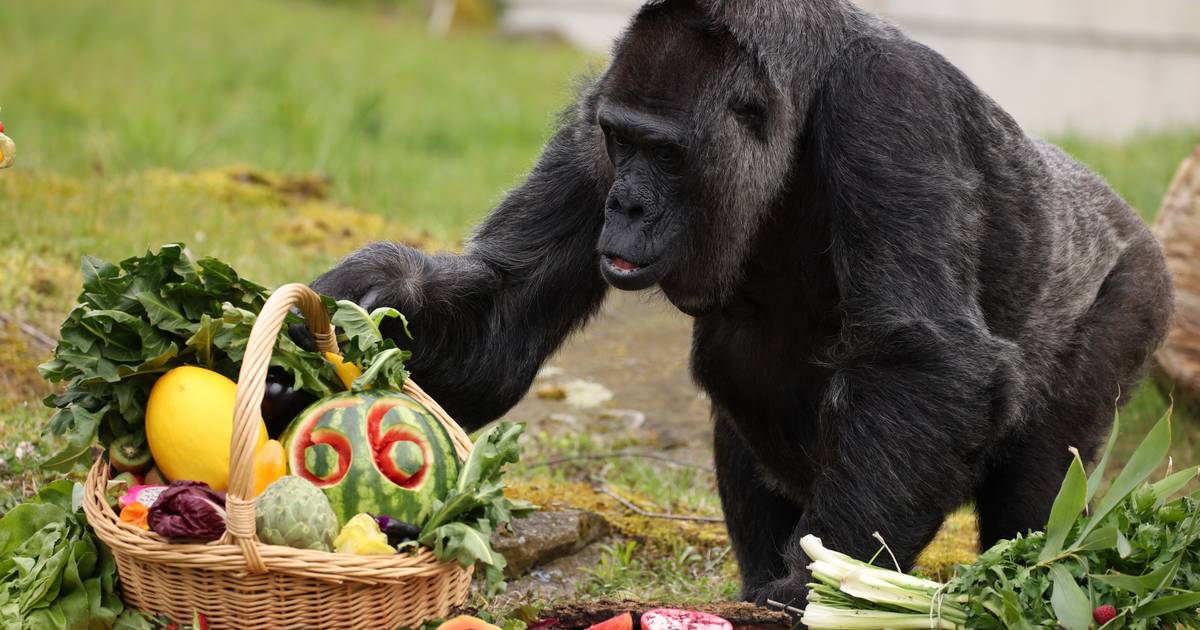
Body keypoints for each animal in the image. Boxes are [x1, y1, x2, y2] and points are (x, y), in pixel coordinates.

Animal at [307, 0, 1171, 607]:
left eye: (665, 153)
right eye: (622, 141)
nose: (623, 205)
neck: (804, 96)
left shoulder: (892, 106)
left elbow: (930, 362)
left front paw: (822, 587)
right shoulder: (595, 103)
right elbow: (505, 318)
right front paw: (364, 304)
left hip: (1138, 289)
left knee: (1039, 490)